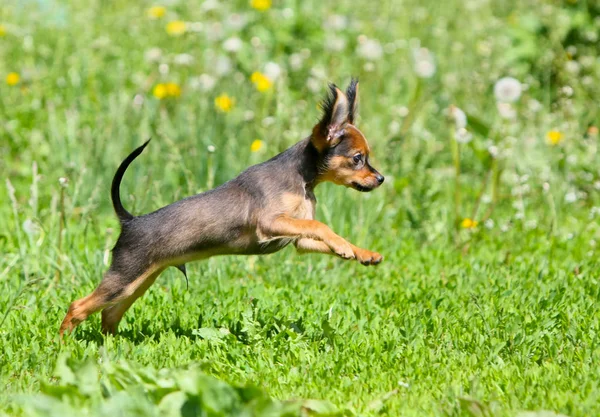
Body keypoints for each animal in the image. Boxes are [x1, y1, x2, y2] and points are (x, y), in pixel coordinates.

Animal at [59, 79, 384, 336]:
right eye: (357, 159)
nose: (381, 178)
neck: (301, 180)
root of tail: (130, 220)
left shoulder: (298, 241)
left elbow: (319, 232)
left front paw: (361, 252)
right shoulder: (270, 223)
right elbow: (319, 225)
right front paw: (345, 248)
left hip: (137, 282)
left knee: (108, 314)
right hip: (124, 278)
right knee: (77, 307)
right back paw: (64, 347)